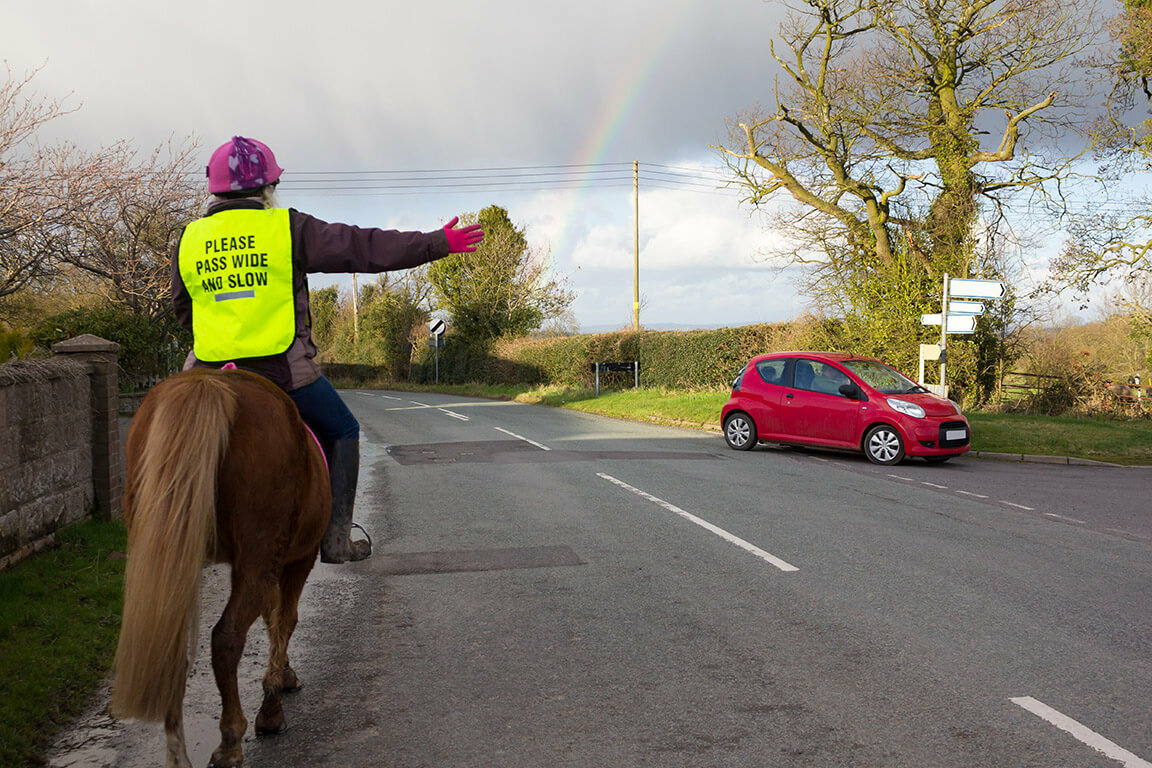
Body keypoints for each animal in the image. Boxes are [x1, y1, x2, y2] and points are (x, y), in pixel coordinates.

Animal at [111, 366, 331, 768]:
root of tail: (210, 383)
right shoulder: (297, 559)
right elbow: (284, 619)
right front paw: (273, 702)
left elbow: (274, 619)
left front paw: (282, 678)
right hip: (260, 557)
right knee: (227, 637)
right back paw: (232, 738)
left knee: (174, 646)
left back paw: (179, 756)